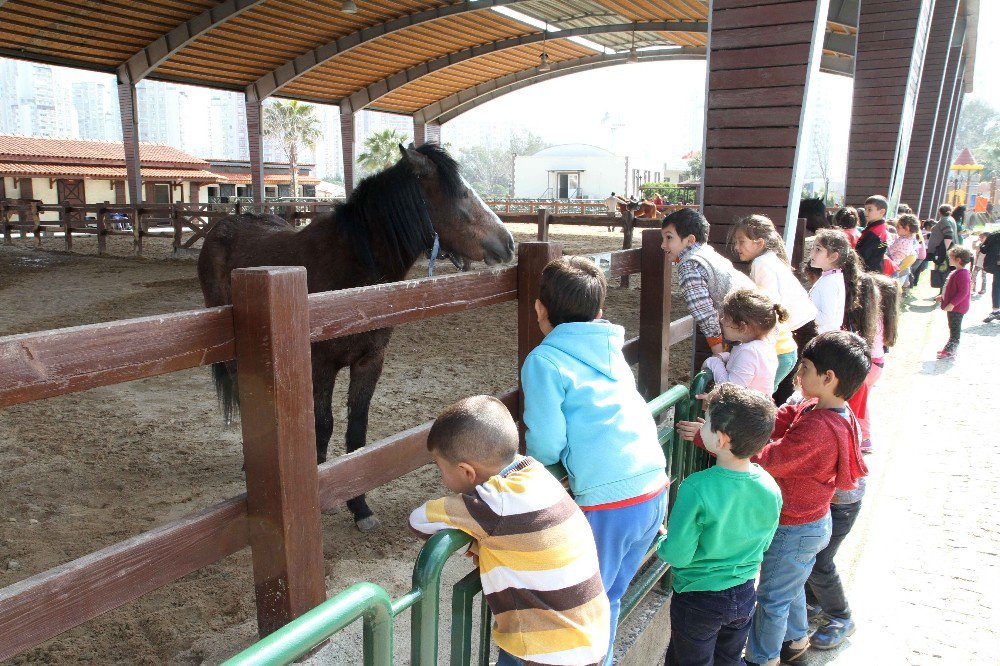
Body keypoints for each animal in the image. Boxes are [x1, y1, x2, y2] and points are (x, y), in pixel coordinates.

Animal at [200, 144, 520, 528]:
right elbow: (323, 425)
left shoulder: (370, 361)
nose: (508, 243)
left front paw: (360, 507)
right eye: (460, 195)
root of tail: (224, 224)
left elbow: (357, 429)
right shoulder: (322, 366)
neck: (351, 278)